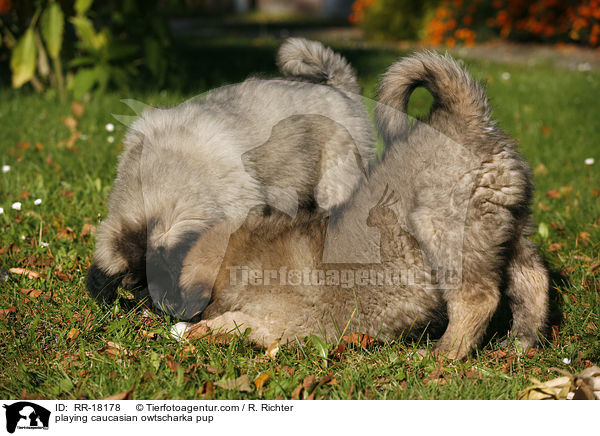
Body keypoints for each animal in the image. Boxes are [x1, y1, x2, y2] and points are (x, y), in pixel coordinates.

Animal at [186, 51, 548, 360]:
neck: (249, 252)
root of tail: (462, 118)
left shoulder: (287, 323)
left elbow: (238, 322)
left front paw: (202, 329)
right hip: (507, 225)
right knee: (534, 280)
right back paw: (521, 341)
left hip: (445, 230)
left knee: (477, 299)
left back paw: (442, 354)